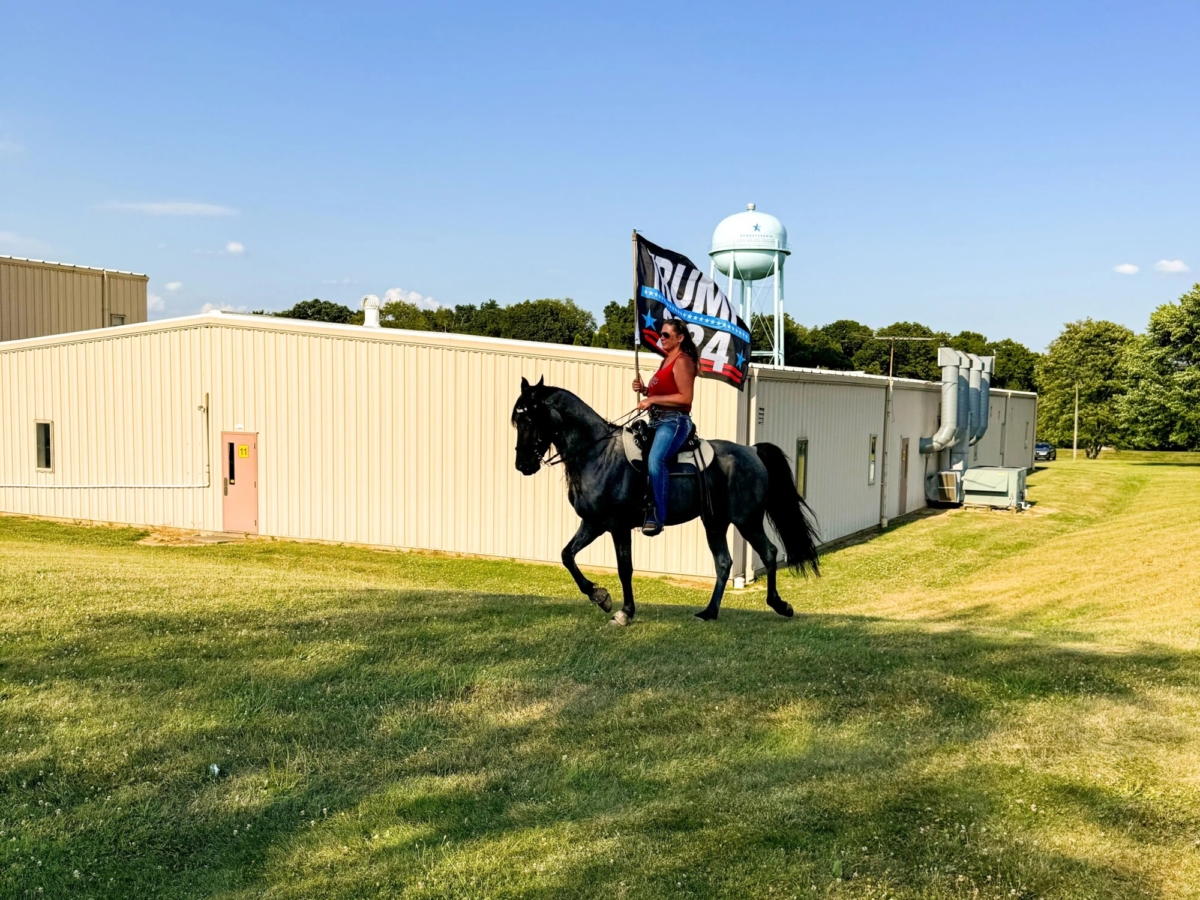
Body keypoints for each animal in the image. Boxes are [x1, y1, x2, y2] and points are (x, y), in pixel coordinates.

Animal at [511, 376, 820, 624]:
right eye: (517, 420)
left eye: (530, 419)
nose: (522, 464)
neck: (598, 454)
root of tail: (752, 451)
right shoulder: (593, 523)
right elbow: (567, 555)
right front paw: (599, 596)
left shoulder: (618, 526)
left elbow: (625, 568)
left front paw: (624, 612)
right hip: (715, 522)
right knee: (723, 563)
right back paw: (709, 612)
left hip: (747, 520)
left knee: (768, 552)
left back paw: (780, 605)